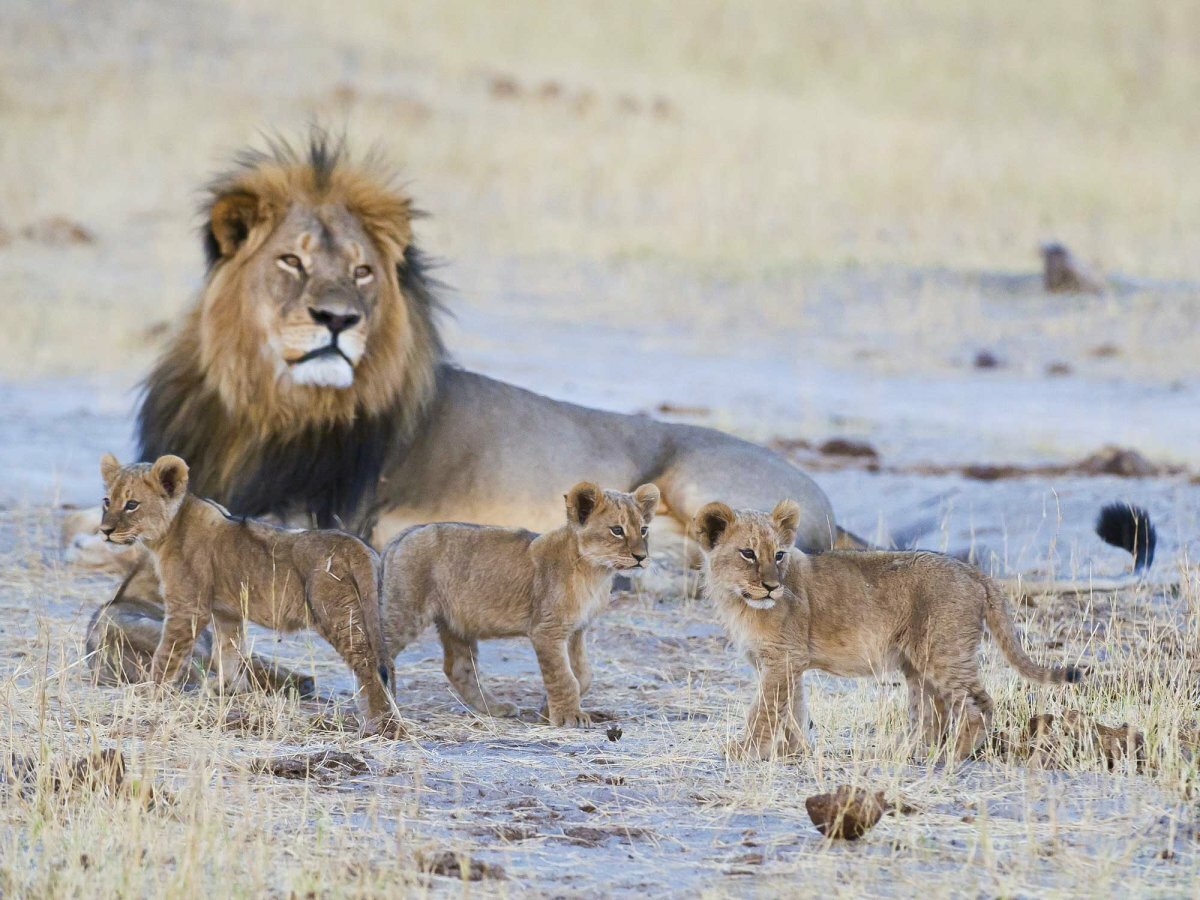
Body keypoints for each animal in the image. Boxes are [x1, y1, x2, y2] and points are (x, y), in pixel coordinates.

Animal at [69, 130, 854, 683]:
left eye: (361, 271)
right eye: (290, 261)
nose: (337, 320)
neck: (265, 408)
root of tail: (828, 504)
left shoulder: (321, 516)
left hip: (699, 484)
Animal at [98, 453, 399, 736]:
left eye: (132, 504)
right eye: (106, 501)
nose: (105, 531)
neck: (171, 528)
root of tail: (356, 545)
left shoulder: (188, 608)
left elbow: (166, 655)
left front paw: (150, 691)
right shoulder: (226, 613)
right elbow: (229, 651)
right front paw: (227, 689)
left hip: (337, 614)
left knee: (367, 665)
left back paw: (381, 725)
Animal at [380, 482, 659, 726]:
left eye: (644, 530)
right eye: (617, 530)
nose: (641, 557)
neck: (596, 572)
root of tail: (401, 537)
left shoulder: (577, 629)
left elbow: (582, 675)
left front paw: (547, 710)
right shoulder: (547, 630)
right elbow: (564, 676)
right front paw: (569, 717)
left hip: (455, 623)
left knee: (458, 668)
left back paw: (495, 708)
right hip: (406, 611)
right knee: (378, 650)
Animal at [692, 499, 1083, 761]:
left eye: (778, 555)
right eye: (747, 553)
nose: (772, 587)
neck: (738, 601)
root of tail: (974, 572)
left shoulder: (782, 659)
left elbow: (764, 710)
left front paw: (743, 750)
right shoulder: (787, 663)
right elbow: (793, 710)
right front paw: (795, 751)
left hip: (943, 651)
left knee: (978, 704)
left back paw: (952, 754)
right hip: (918, 663)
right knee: (932, 713)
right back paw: (910, 750)